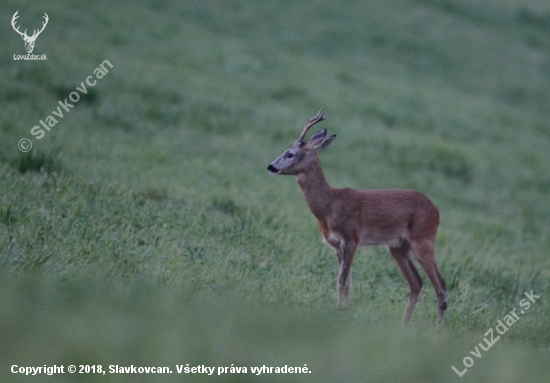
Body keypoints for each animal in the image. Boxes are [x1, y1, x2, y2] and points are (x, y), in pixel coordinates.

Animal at [268, 109, 448, 324]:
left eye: (290, 153)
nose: (270, 166)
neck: (329, 206)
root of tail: (436, 211)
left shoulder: (351, 238)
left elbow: (342, 279)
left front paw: (339, 310)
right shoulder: (337, 245)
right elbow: (348, 281)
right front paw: (345, 310)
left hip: (423, 240)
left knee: (441, 284)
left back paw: (438, 328)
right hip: (398, 246)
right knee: (416, 282)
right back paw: (403, 324)